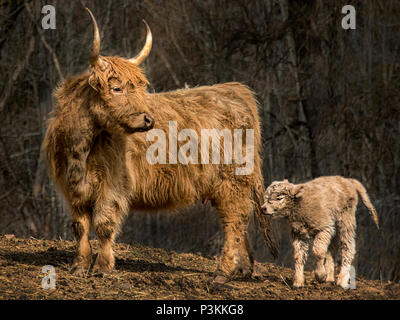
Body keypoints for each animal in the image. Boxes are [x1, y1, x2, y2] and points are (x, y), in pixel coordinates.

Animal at [41, 8, 278, 282]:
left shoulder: (113, 185)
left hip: (231, 182)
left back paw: (223, 272)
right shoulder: (73, 190)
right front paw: (79, 266)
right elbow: (80, 227)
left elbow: (104, 225)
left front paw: (102, 267)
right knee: (242, 221)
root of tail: (235, 90)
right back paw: (244, 269)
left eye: (140, 87)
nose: (148, 119)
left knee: (234, 222)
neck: (80, 150)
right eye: (116, 88)